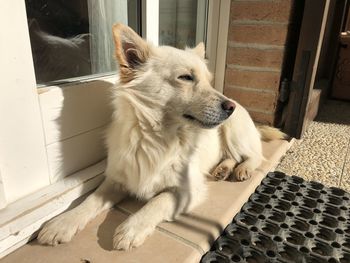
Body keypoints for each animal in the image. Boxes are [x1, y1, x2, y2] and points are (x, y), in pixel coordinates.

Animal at [37, 23, 284, 251]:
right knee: (231, 156)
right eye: (186, 77)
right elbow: (90, 200)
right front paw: (63, 222)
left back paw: (243, 169)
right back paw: (223, 169)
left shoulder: (187, 191)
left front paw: (131, 228)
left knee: (253, 156)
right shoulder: (116, 180)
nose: (229, 106)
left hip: (234, 131)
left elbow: (157, 202)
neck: (157, 139)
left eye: (208, 80)